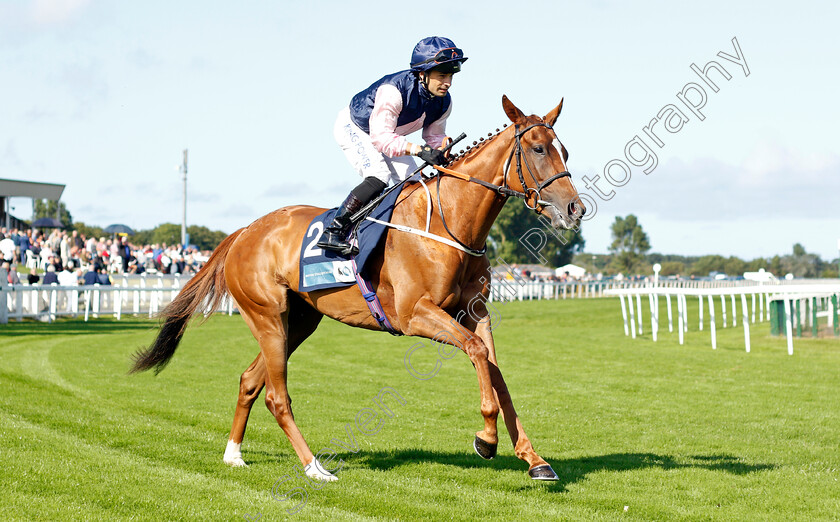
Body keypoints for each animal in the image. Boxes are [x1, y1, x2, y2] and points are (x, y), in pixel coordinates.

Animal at [135, 96, 588, 480]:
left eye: (563, 150)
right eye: (538, 149)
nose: (574, 209)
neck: (449, 224)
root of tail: (244, 232)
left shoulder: (474, 313)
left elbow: (496, 372)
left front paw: (534, 459)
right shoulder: (415, 314)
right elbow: (477, 354)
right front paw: (487, 439)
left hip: (298, 321)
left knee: (250, 380)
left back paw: (234, 454)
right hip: (266, 316)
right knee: (277, 397)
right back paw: (314, 467)